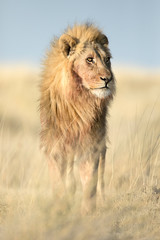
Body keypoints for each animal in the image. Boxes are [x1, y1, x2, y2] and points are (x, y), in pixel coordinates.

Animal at [39, 23, 115, 214]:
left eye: (107, 59)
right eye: (89, 59)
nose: (108, 79)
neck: (80, 102)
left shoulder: (91, 146)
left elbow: (90, 184)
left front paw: (87, 213)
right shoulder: (55, 147)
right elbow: (59, 184)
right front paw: (60, 211)